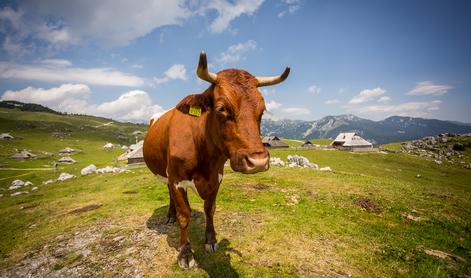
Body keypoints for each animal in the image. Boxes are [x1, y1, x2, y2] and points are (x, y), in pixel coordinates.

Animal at [142, 51, 290, 268]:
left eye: (262, 111)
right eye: (221, 109)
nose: (258, 162)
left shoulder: (217, 178)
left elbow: (210, 209)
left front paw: (211, 240)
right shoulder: (176, 178)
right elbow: (184, 215)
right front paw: (185, 252)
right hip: (166, 174)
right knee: (170, 195)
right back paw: (170, 216)